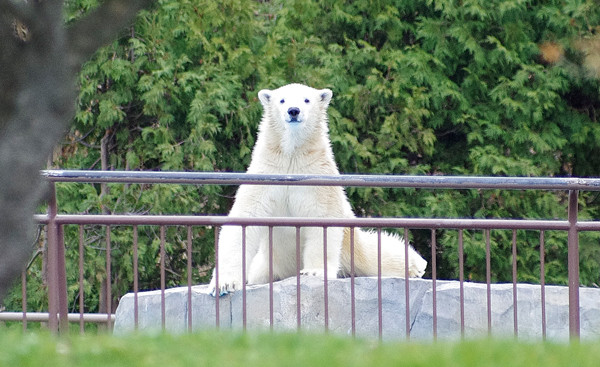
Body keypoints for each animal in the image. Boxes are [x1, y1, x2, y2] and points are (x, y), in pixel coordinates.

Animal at [210, 83, 426, 296]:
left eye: (306, 99)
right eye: (282, 100)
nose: (294, 110)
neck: (292, 157)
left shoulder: (317, 177)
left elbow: (322, 218)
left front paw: (313, 272)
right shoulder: (267, 174)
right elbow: (245, 218)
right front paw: (224, 284)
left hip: (350, 243)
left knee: (375, 254)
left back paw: (416, 266)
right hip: (266, 264)